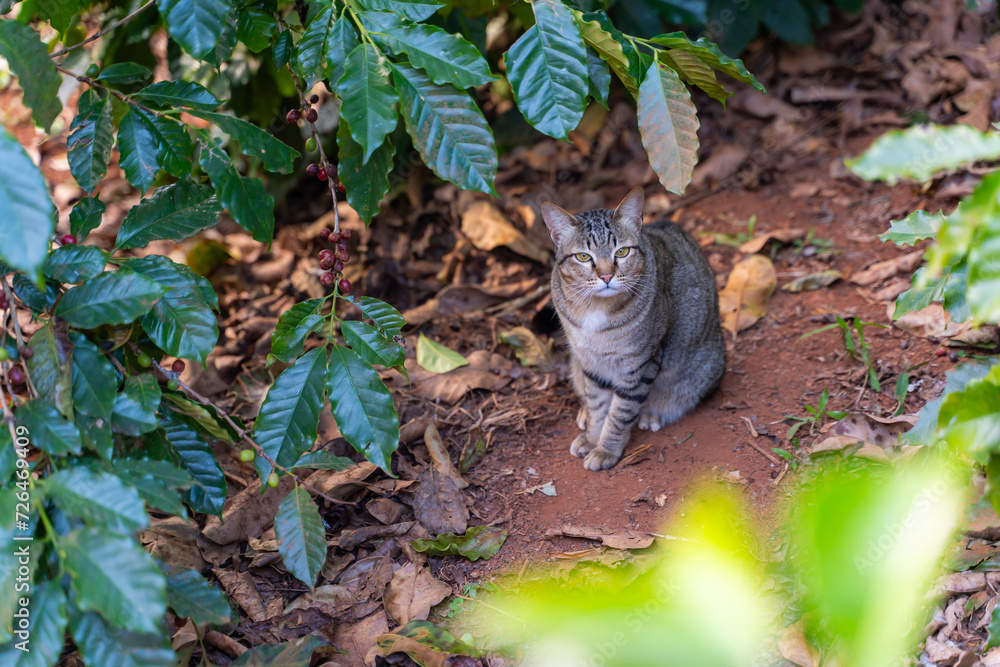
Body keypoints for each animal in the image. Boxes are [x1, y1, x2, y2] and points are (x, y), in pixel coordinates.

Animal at [544, 185, 724, 472]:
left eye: (621, 252)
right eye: (583, 256)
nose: (607, 276)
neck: (595, 310)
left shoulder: (639, 364)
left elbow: (619, 413)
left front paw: (605, 449)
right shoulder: (590, 362)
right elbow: (598, 405)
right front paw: (592, 436)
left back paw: (653, 412)